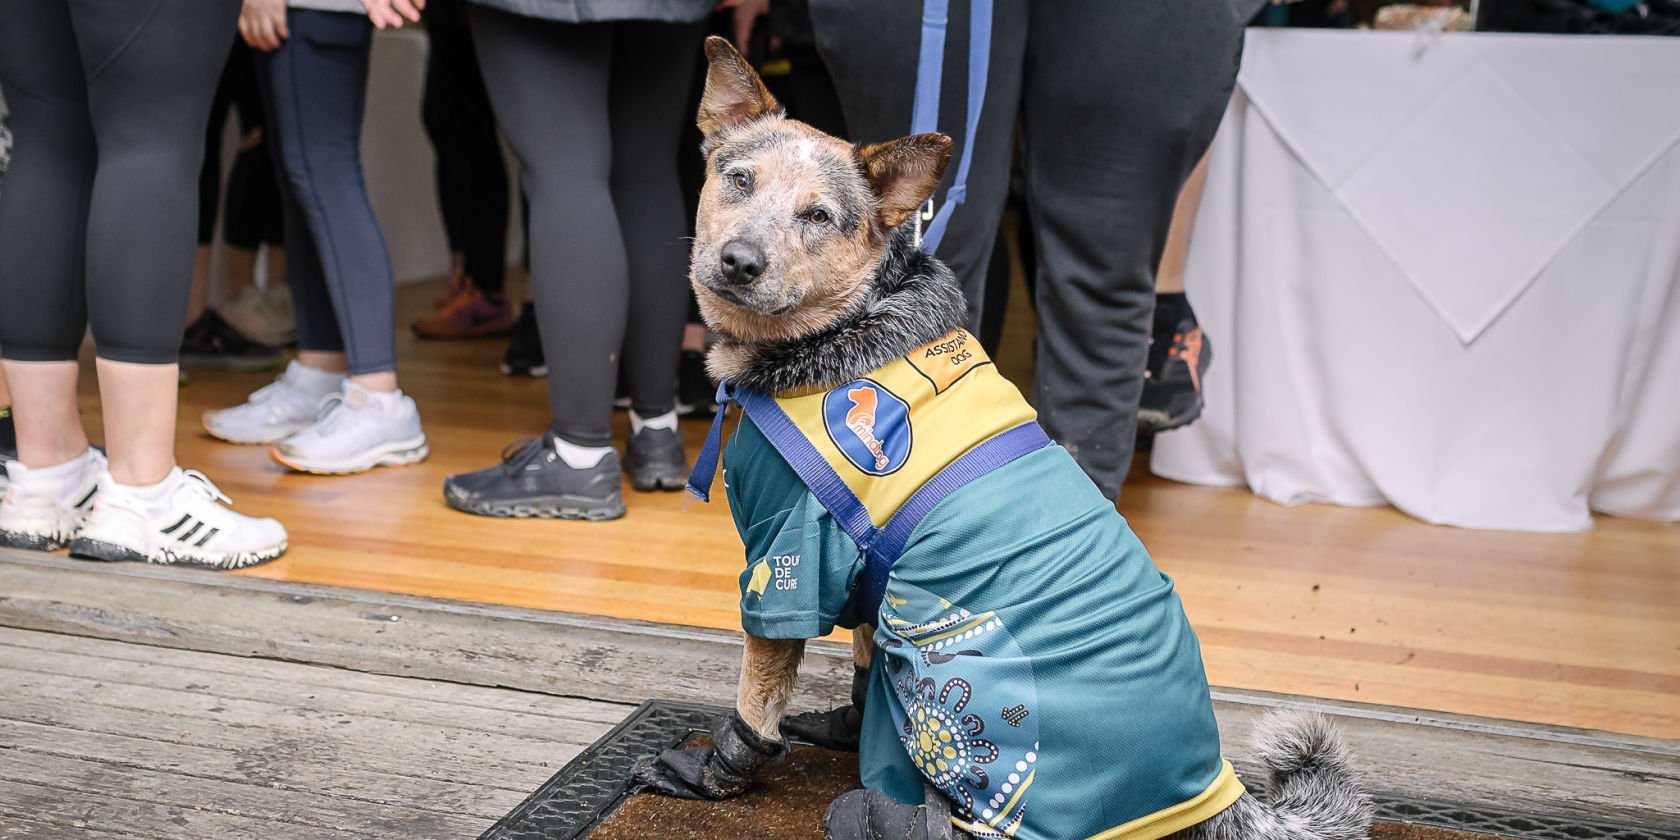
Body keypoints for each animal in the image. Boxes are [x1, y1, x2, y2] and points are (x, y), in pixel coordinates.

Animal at [631, 34, 1377, 840]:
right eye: (738, 179)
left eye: (819, 216)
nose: (739, 261)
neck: (844, 328)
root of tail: (1216, 788)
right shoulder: (868, 569)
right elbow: (860, 657)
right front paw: (844, 723)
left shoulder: (789, 558)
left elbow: (756, 700)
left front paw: (712, 773)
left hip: (954, 665)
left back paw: (877, 813)